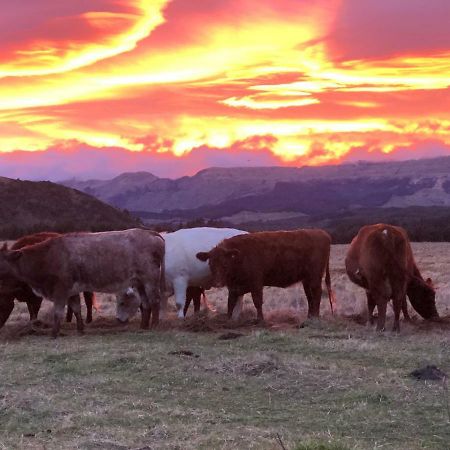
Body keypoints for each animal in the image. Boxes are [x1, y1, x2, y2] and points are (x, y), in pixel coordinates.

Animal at [0, 229, 165, 338]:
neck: (48, 256)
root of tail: (151, 233)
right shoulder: (72, 291)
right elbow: (76, 308)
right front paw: (80, 329)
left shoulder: (60, 290)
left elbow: (58, 312)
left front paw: (54, 333)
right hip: (139, 282)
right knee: (145, 303)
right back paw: (143, 326)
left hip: (150, 279)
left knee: (155, 301)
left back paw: (155, 325)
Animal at [115, 227, 246, 322]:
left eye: (123, 301)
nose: (118, 319)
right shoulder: (163, 286)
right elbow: (162, 303)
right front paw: (162, 318)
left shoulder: (180, 280)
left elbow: (179, 302)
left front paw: (180, 318)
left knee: (239, 298)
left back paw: (235, 316)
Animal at [195, 230, 336, 322]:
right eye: (211, 263)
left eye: (225, 263)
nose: (218, 283)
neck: (239, 257)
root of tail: (322, 233)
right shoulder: (234, 287)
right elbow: (230, 303)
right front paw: (228, 320)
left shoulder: (256, 282)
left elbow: (257, 301)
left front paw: (260, 320)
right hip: (306, 279)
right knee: (309, 296)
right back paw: (309, 317)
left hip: (315, 276)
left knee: (317, 293)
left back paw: (315, 317)